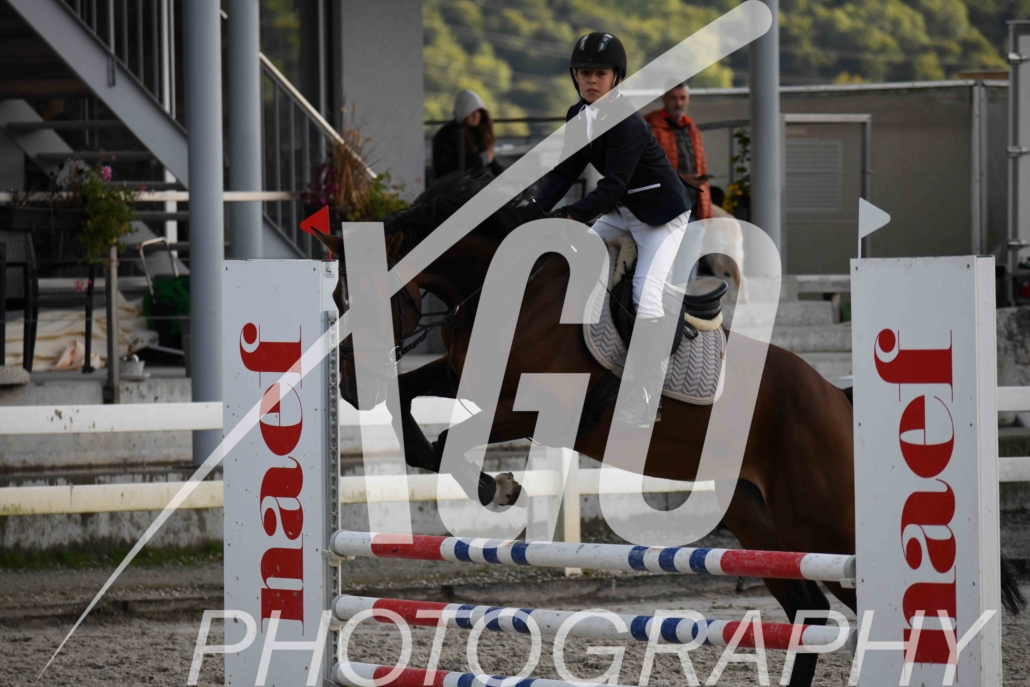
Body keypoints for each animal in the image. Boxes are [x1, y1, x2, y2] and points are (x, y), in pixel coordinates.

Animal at [313, 173, 1025, 687]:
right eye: (338, 293)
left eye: (366, 296)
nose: (349, 377)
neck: (511, 288)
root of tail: (837, 397)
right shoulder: (471, 376)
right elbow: (413, 412)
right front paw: (485, 480)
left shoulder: (534, 403)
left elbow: (449, 434)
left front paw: (496, 487)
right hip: (762, 520)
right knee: (809, 612)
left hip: (826, 518)